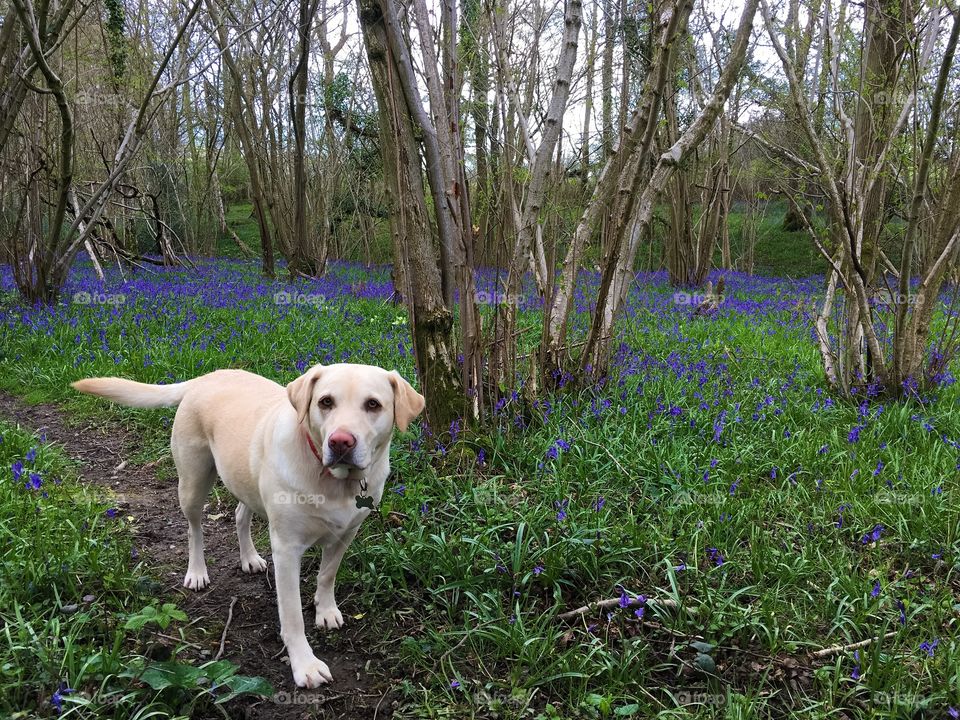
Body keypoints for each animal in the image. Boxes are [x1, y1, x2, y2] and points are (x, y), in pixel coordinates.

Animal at [71, 366, 424, 688]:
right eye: (326, 401)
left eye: (373, 404)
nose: (340, 442)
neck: (336, 483)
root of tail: (206, 376)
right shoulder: (286, 549)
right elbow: (292, 615)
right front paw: (305, 664)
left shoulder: (345, 535)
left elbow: (327, 575)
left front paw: (325, 611)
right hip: (193, 482)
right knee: (194, 529)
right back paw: (197, 571)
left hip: (243, 481)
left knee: (240, 514)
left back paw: (249, 558)